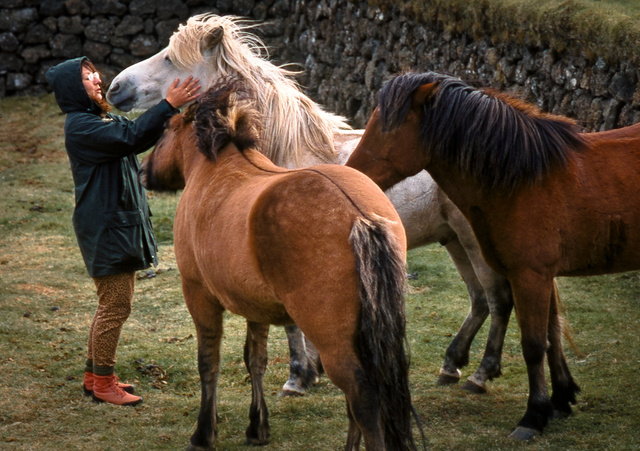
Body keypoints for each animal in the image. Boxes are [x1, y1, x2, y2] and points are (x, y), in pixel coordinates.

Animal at [107, 13, 514, 396]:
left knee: (498, 300)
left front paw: (299, 377)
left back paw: (480, 374)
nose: (114, 87)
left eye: (170, 58)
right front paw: (313, 370)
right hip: (454, 240)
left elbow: (292, 324)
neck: (283, 154)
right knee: (479, 301)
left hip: (472, 241)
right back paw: (451, 365)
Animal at [139, 80, 419, 450]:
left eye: (165, 130)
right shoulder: (254, 306)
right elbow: (255, 360)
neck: (217, 169)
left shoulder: (199, 296)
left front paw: (203, 432)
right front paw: (258, 426)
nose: (142, 171)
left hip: (335, 342)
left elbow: (208, 362)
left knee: (362, 398)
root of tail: (360, 216)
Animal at [346, 70, 640, 440]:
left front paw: (534, 415)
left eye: (388, 128)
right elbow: (552, 334)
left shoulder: (532, 275)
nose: (353, 173)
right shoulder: (542, 275)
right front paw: (561, 399)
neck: (525, 180)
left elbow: (534, 344)